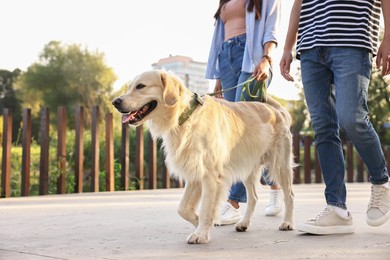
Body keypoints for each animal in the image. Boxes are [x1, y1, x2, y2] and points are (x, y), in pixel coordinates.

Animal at [112, 69, 296, 244]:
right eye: (130, 87)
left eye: (140, 86)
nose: (115, 102)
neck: (185, 117)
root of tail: (277, 111)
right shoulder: (194, 172)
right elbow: (182, 208)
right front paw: (198, 221)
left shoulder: (210, 174)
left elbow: (207, 207)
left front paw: (201, 233)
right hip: (248, 168)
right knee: (254, 197)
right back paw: (244, 223)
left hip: (280, 166)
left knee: (290, 195)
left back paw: (288, 223)